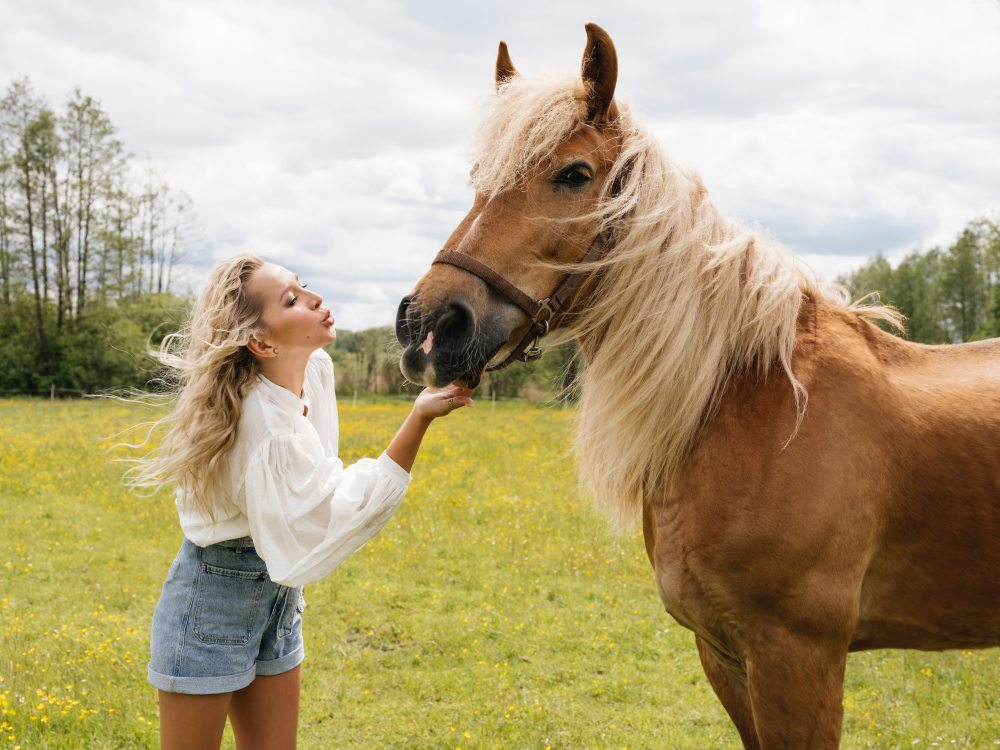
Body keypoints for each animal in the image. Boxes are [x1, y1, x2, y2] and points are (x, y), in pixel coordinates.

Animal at [392, 25, 1000, 750]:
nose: (428, 326)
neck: (753, 406)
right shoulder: (723, 654)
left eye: (574, 175)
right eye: (479, 179)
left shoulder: (799, 657)